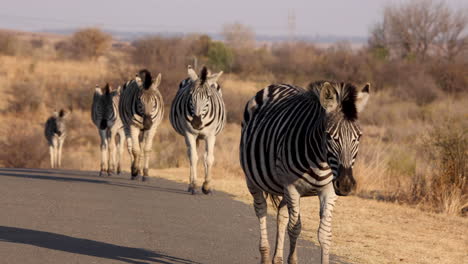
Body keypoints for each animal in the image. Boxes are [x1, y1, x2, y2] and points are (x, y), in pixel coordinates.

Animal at [169, 66, 226, 194]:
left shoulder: (211, 135)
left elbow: (209, 158)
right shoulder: (189, 133)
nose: (196, 122)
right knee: (190, 154)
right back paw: (190, 184)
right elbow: (193, 157)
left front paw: (207, 186)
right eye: (191, 95)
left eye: (208, 97)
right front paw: (194, 184)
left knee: (205, 156)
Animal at [241, 81, 370, 262]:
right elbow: (295, 228)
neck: (320, 161)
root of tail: (276, 85)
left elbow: (325, 234)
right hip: (252, 179)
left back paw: (277, 259)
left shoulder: (329, 191)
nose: (345, 185)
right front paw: (292, 259)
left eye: (359, 136)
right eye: (329, 136)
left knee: (281, 214)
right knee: (261, 209)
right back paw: (265, 256)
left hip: (283, 187)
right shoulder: (292, 188)